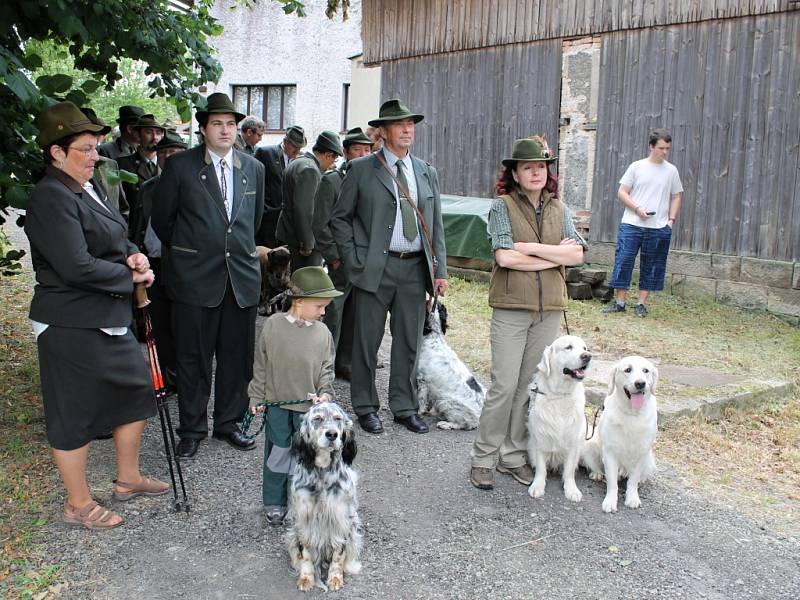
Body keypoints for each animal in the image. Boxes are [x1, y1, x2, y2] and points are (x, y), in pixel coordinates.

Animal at [528, 336, 592, 504]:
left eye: (585, 348)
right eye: (568, 347)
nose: (588, 356)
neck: (560, 394)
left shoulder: (573, 441)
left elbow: (569, 470)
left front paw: (571, 490)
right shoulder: (540, 438)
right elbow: (541, 468)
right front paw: (537, 486)